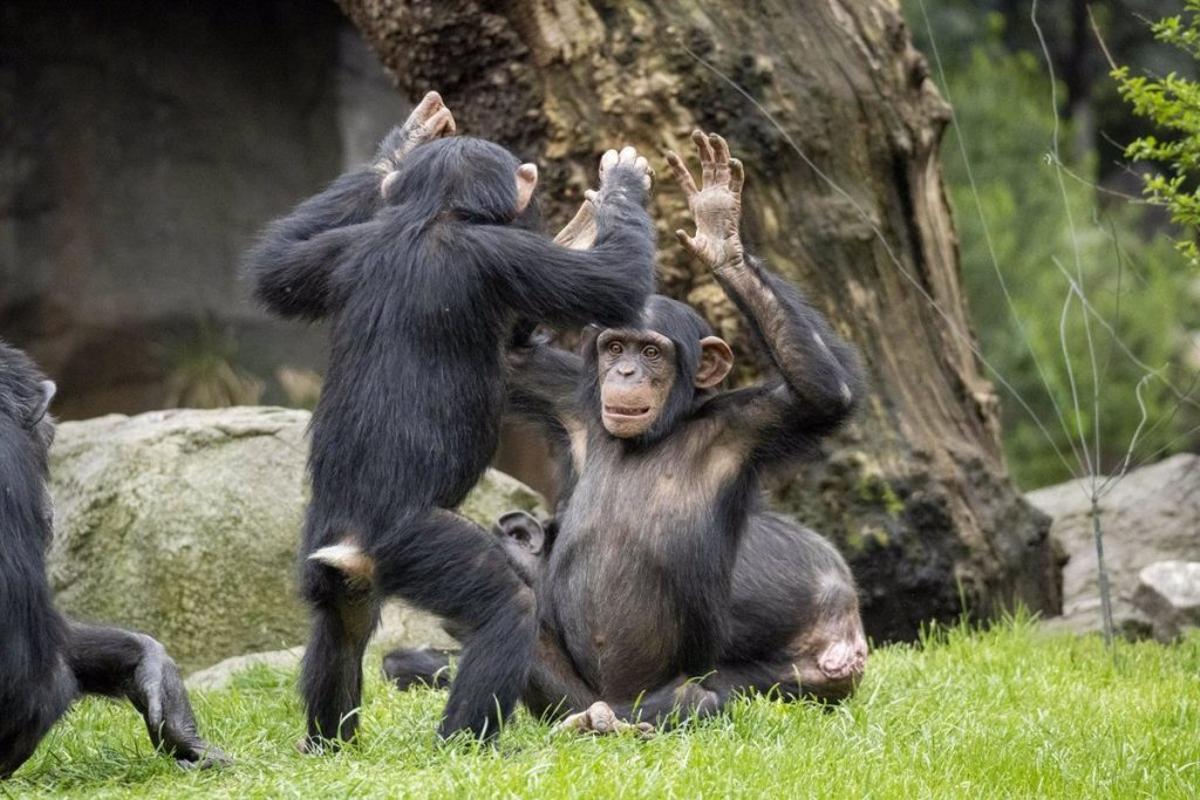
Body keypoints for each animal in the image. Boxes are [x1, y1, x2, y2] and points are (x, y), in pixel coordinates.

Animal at [243, 94, 657, 753]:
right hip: (415, 546)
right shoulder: (505, 256)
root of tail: (350, 543)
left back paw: (330, 744)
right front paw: (621, 183)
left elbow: (274, 271)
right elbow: (613, 285)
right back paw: (468, 743)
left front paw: (405, 143)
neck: (433, 214)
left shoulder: (339, 250)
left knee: (342, 626)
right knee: (505, 607)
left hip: (327, 559)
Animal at [381, 130, 864, 734]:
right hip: (568, 691)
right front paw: (588, 219)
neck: (654, 434)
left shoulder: (750, 426)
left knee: (696, 699)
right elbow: (510, 358)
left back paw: (617, 721)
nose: (626, 372)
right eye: (615, 346)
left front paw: (720, 235)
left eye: (651, 352)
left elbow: (820, 393)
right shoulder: (568, 396)